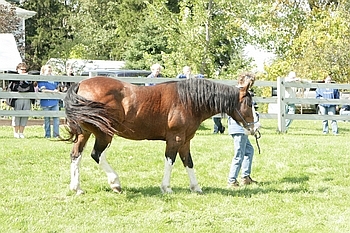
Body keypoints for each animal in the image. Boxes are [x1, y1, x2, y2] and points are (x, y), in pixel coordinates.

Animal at [63, 77, 254, 195]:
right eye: (250, 103)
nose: (253, 128)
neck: (189, 100)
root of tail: (80, 85)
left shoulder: (185, 141)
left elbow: (188, 162)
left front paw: (196, 187)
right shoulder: (175, 139)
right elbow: (170, 161)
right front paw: (166, 187)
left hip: (85, 133)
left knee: (76, 155)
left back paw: (76, 188)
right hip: (104, 134)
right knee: (96, 155)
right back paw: (115, 183)